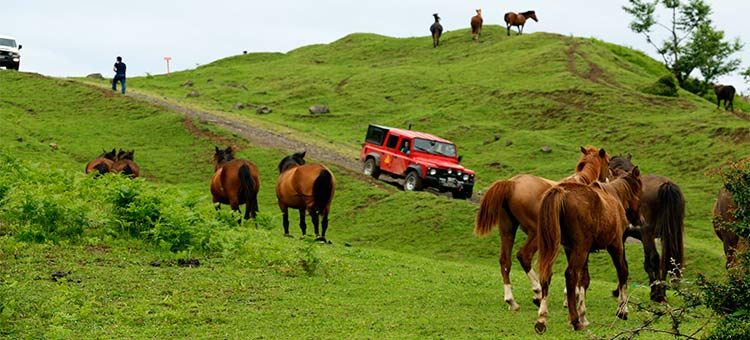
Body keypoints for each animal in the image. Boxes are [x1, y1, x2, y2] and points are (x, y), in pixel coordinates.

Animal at [476, 146, 612, 310]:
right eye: (608, 162)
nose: (609, 178)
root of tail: (512, 183)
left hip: (507, 230)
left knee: (505, 261)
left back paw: (511, 300)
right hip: (536, 233)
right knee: (524, 256)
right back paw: (537, 292)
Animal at [536, 167, 648, 332]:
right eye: (640, 191)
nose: (641, 220)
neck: (614, 196)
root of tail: (562, 191)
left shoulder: (583, 251)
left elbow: (584, 280)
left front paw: (583, 315)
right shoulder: (615, 244)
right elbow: (622, 272)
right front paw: (622, 310)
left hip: (563, 248)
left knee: (547, 275)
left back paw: (542, 318)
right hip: (581, 248)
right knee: (570, 274)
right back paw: (574, 320)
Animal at [612, 155, 688, 302]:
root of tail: (666, 184)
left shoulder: (625, 236)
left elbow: (624, 262)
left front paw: (618, 291)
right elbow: (646, 263)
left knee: (655, 258)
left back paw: (658, 294)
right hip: (669, 234)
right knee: (666, 260)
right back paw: (661, 292)